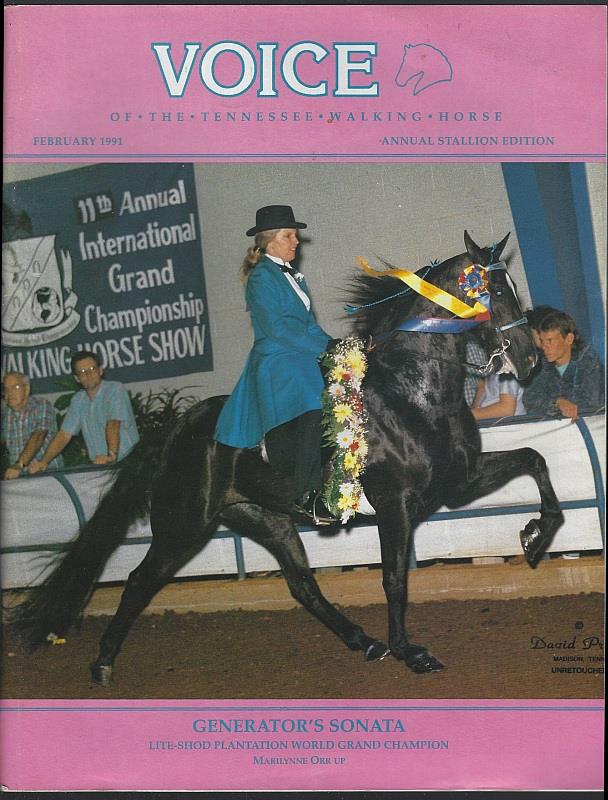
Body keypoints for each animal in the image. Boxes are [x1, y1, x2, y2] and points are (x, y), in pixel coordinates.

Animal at [13, 231, 564, 683]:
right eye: (495, 291)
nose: (529, 358)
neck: (414, 392)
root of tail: (176, 430)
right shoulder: (396, 505)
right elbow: (394, 580)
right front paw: (411, 652)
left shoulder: (459, 483)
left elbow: (536, 459)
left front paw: (535, 539)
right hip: (186, 524)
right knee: (138, 581)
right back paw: (103, 663)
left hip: (264, 518)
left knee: (302, 585)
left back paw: (364, 642)